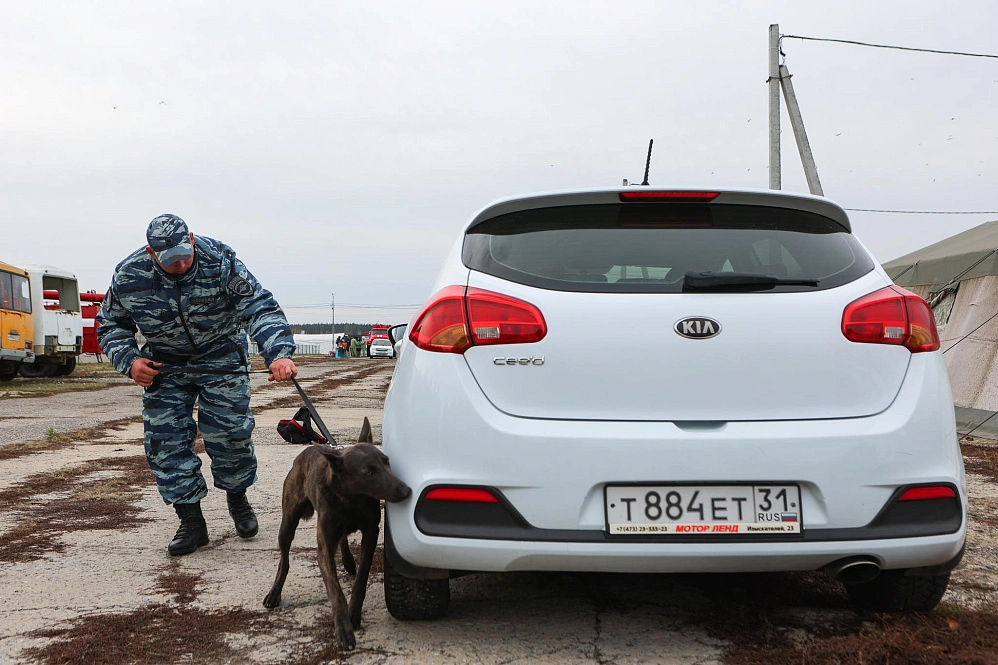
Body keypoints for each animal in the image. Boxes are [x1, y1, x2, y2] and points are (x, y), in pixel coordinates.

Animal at [263, 416, 411, 650]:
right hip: (287, 523)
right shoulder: (324, 548)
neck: (351, 500)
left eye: (386, 461)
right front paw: (343, 630)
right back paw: (275, 592)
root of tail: (305, 452)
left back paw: (349, 562)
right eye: (368, 473)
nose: (406, 491)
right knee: (284, 560)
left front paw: (354, 614)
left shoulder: (371, 534)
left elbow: (361, 580)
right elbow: (335, 591)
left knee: (342, 539)